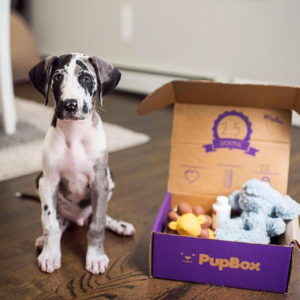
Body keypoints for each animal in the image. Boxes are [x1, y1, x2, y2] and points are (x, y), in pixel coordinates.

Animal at [29, 53, 135, 274]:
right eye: (58, 77)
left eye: (86, 78)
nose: (70, 104)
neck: (74, 134)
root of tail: (77, 219)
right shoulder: (48, 181)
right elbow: (50, 223)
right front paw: (50, 255)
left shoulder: (100, 182)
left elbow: (97, 224)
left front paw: (96, 257)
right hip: (39, 180)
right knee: (58, 222)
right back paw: (43, 240)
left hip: (110, 177)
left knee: (98, 216)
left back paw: (119, 226)